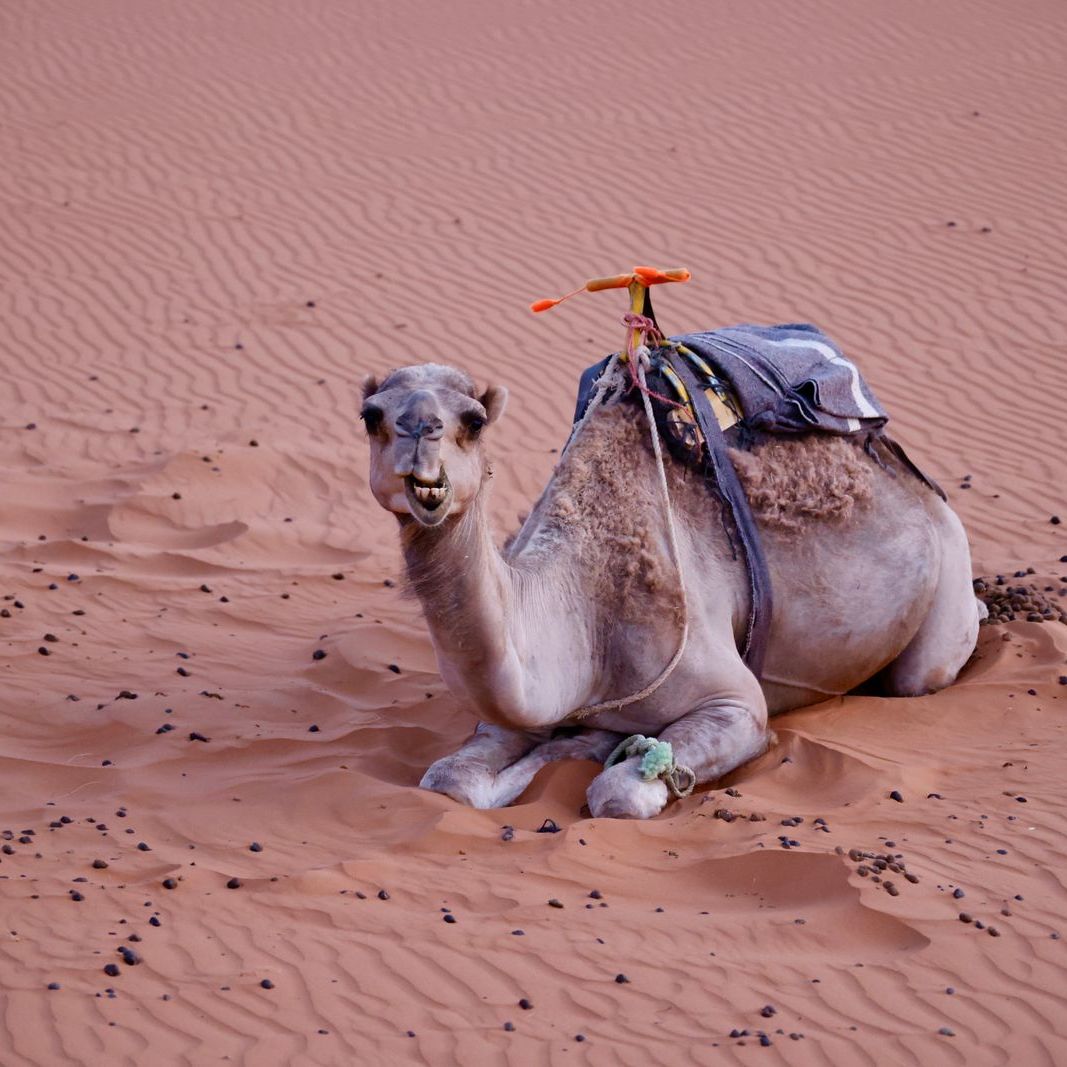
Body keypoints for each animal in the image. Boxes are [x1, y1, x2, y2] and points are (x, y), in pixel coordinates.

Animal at [361, 360, 981, 819]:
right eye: (371, 416)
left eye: (474, 420)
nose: (420, 432)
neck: (587, 619)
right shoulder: (519, 699)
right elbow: (448, 778)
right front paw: (577, 743)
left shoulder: (734, 703)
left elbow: (616, 793)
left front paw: (588, 749)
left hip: (947, 565)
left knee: (922, 671)